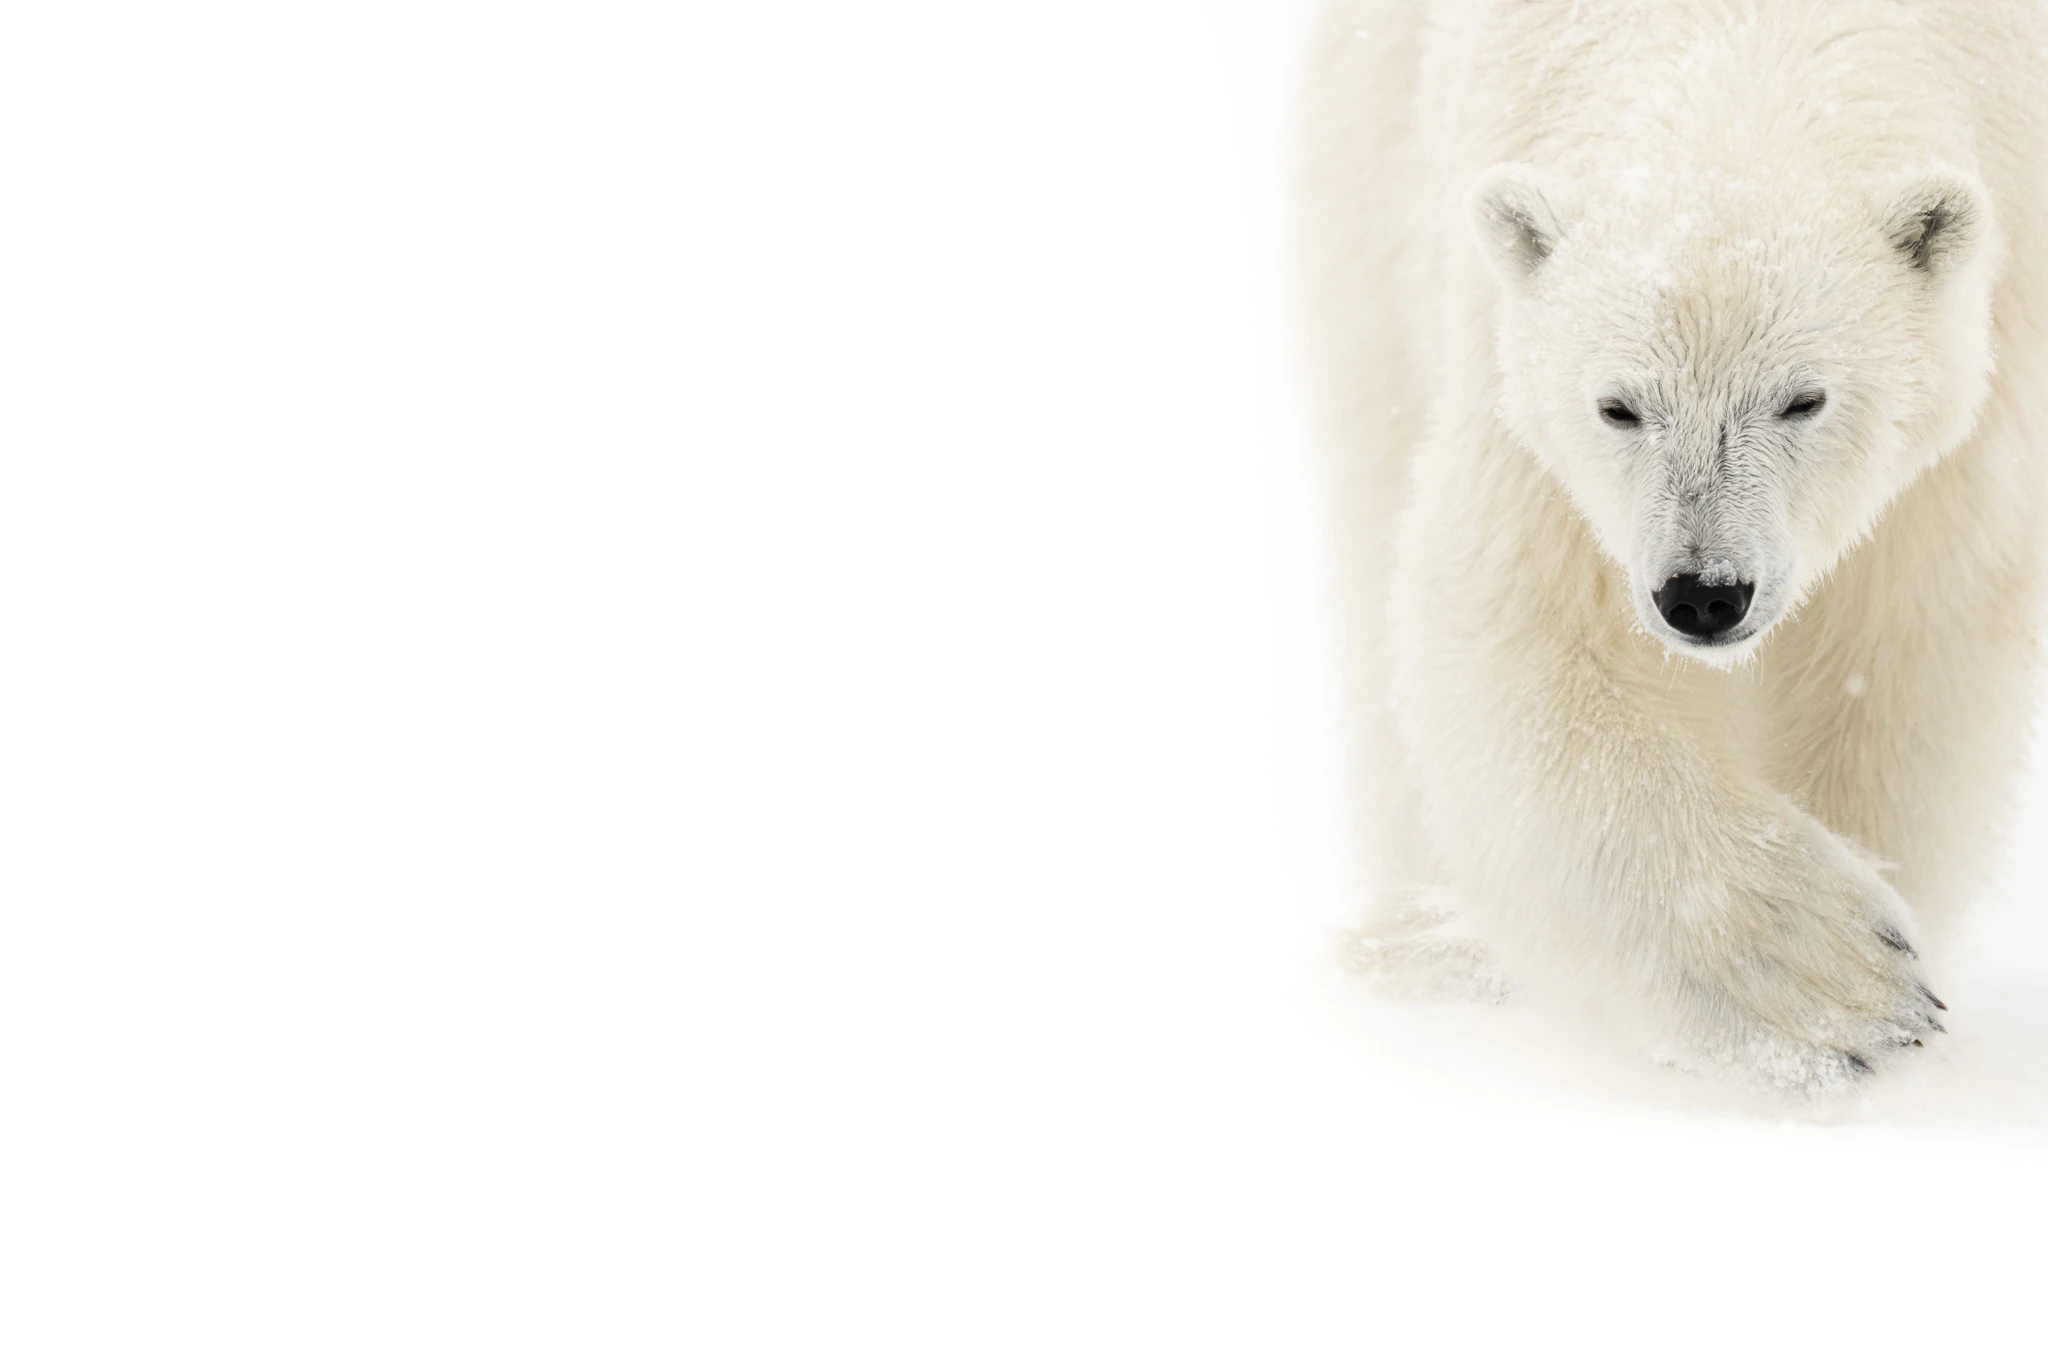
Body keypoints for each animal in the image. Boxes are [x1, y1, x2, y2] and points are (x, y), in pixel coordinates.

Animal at [1293, 0, 2048, 1092]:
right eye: (1619, 406)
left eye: (1803, 398)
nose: (1703, 594)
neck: (1741, 41)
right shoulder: (1530, 420)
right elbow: (1518, 635)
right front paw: (1825, 980)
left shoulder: (1981, 382)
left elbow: (1902, 648)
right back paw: (1433, 937)